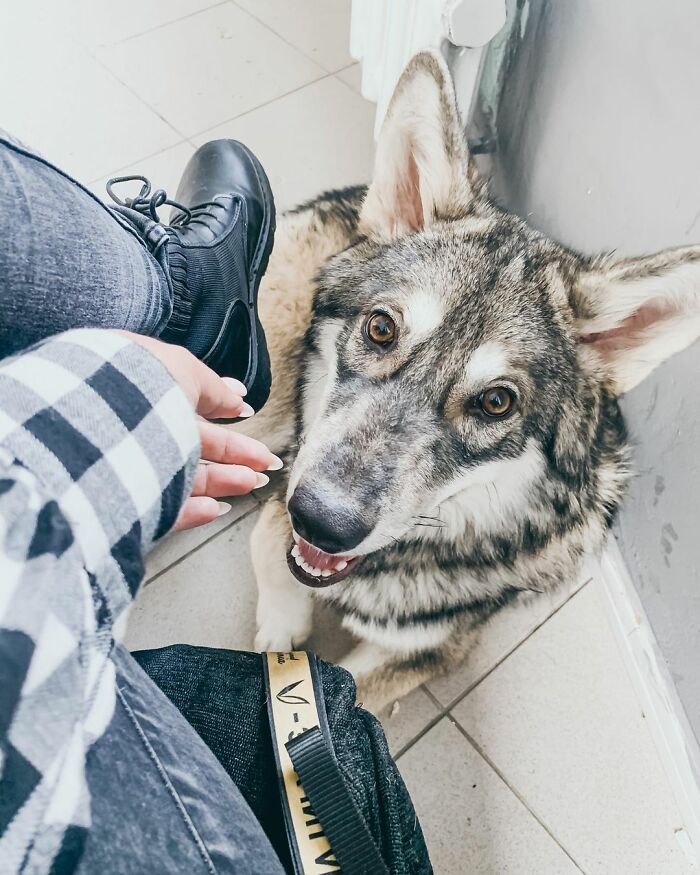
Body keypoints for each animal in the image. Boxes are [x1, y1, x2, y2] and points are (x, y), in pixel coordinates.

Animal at [239, 49, 700, 712]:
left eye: (496, 402)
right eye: (381, 328)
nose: (321, 520)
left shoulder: (432, 650)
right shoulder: (289, 493)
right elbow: (268, 549)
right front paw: (281, 635)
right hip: (263, 408)